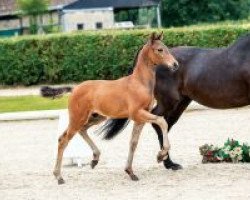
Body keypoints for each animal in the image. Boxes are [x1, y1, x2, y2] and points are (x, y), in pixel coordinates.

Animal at [41, 32, 178, 184]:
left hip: (97, 117)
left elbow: (133, 143)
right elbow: (162, 121)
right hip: (78, 118)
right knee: (63, 140)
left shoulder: (140, 118)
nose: (175, 65)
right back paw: (59, 176)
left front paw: (130, 172)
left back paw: (95, 159)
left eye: (167, 48)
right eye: (160, 50)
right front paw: (160, 155)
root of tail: (74, 89)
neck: (139, 83)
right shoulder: (137, 114)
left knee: (82, 131)